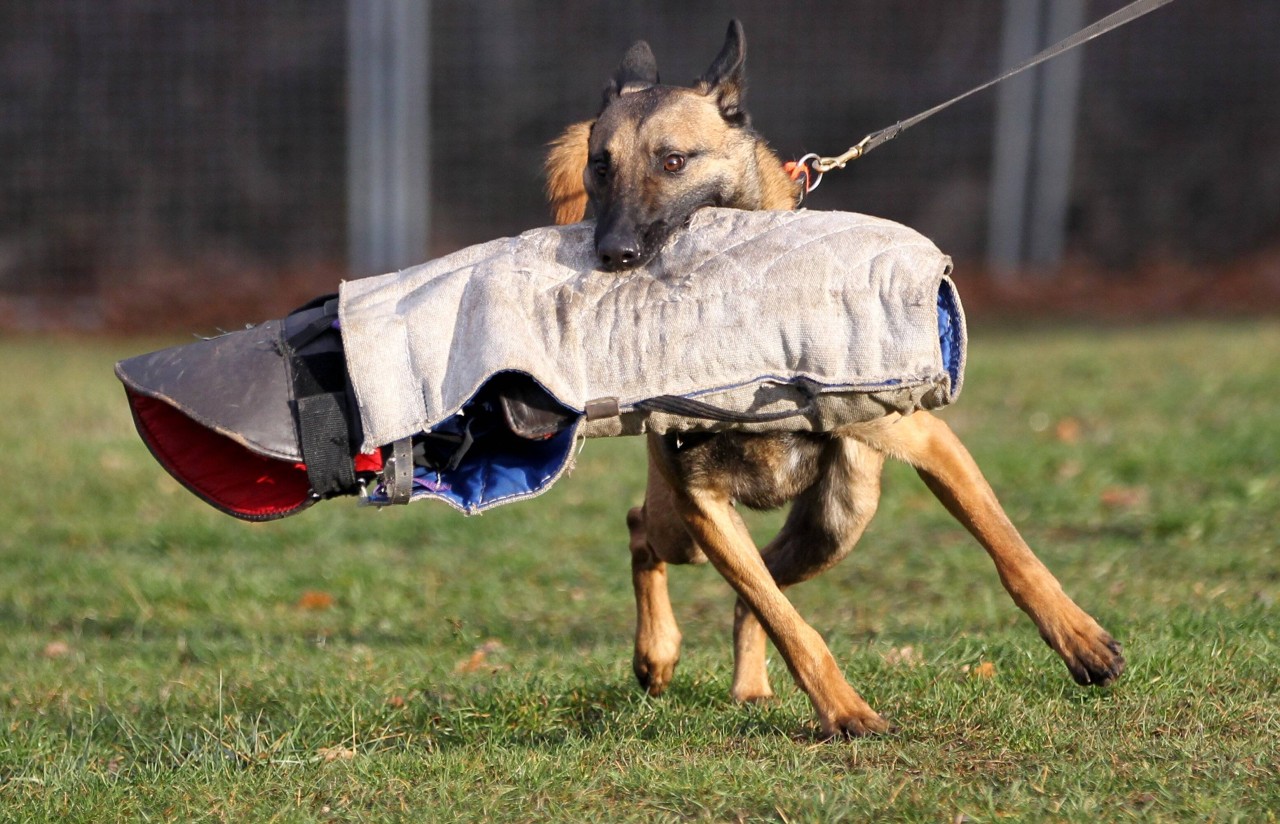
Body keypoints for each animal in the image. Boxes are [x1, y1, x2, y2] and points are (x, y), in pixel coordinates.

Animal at [545, 20, 1126, 742]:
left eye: (673, 161)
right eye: (602, 164)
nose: (613, 254)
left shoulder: (933, 445)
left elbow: (1010, 550)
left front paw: (1080, 640)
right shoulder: (704, 505)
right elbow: (788, 623)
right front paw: (845, 711)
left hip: (839, 521)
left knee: (747, 583)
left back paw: (745, 685)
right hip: (695, 526)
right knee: (650, 535)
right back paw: (658, 653)